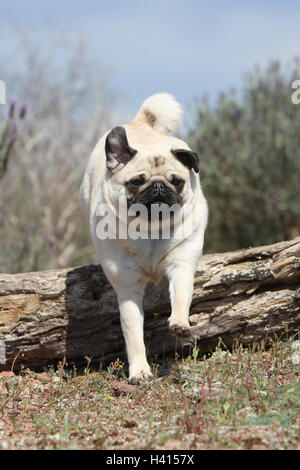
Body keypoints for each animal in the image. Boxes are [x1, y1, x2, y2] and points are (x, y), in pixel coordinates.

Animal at [79, 93, 209, 384]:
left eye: (177, 182)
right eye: (136, 183)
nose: (159, 186)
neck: (151, 230)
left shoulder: (181, 265)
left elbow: (181, 296)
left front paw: (180, 324)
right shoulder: (128, 288)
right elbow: (133, 335)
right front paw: (139, 371)